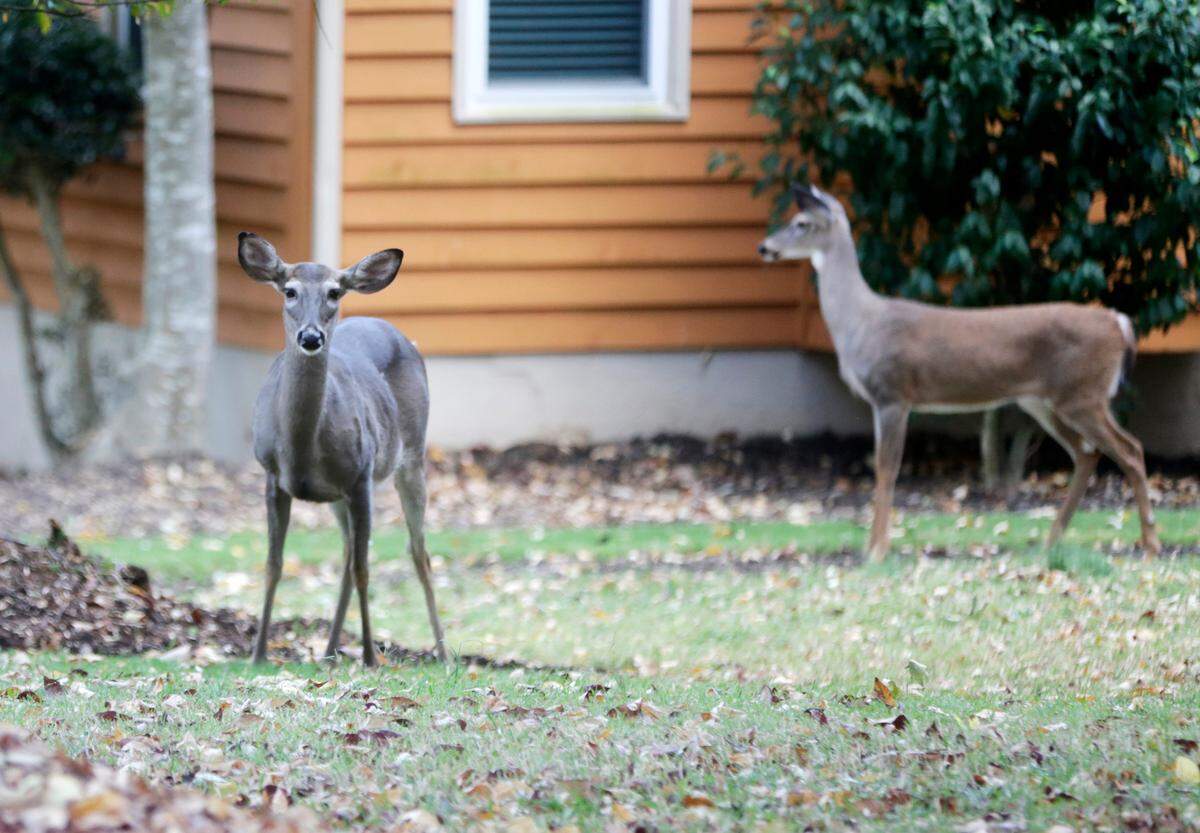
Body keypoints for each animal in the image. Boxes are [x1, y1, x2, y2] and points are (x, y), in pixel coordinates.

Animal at [237, 232, 447, 666]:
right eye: (289, 290)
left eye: (334, 292)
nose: (311, 337)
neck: (301, 447)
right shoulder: (272, 476)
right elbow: (273, 565)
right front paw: (258, 654)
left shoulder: (361, 477)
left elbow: (366, 569)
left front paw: (369, 656)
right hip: (336, 496)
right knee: (349, 552)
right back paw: (330, 649)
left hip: (411, 455)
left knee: (417, 552)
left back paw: (444, 654)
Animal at [758, 185, 1162, 563]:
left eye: (802, 223)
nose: (764, 247)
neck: (862, 322)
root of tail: (1119, 322)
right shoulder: (878, 402)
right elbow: (880, 468)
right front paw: (870, 548)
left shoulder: (894, 393)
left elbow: (888, 469)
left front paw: (877, 551)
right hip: (1045, 401)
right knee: (1087, 454)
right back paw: (1051, 541)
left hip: (1083, 394)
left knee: (1129, 450)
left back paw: (1150, 544)